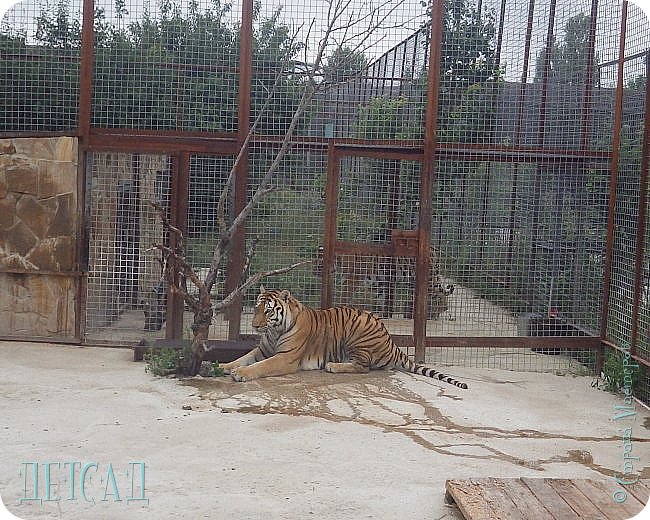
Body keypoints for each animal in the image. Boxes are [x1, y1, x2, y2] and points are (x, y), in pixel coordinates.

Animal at [220, 286, 468, 388]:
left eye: (268, 311)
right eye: (256, 309)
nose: (254, 325)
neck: (274, 331)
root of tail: (392, 343)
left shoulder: (285, 358)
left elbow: (259, 366)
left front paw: (240, 374)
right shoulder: (262, 350)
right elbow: (242, 358)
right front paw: (224, 366)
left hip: (358, 334)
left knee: (363, 367)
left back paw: (333, 366)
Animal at [312, 247, 454, 318]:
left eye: (318, 262)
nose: (313, 272)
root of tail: (433, 249)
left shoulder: (351, 280)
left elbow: (344, 297)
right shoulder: (376, 284)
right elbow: (381, 299)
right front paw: (382, 315)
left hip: (428, 280)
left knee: (440, 294)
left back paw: (439, 314)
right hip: (414, 282)